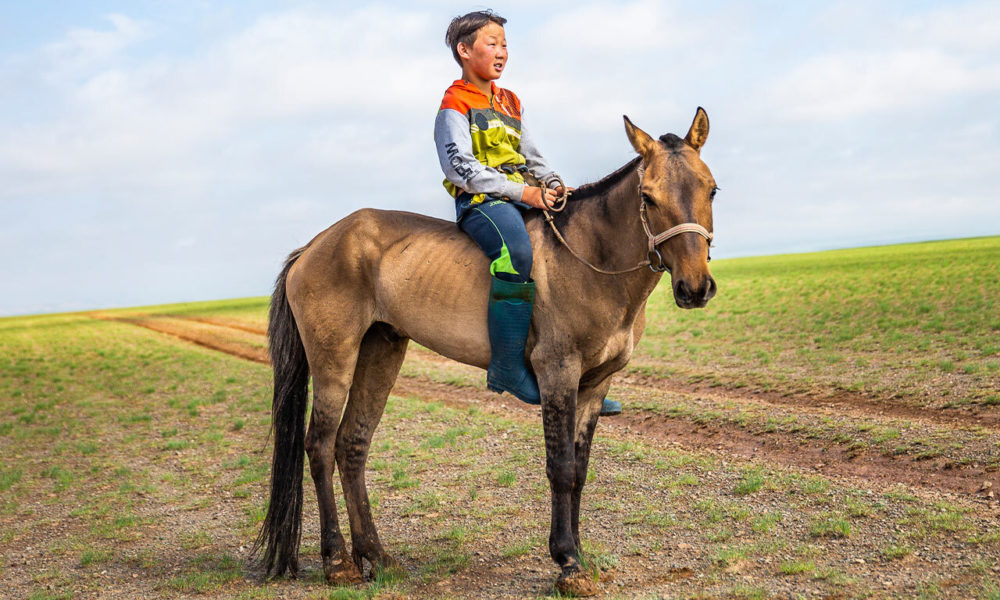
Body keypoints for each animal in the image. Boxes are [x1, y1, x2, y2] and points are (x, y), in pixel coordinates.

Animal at [254, 109, 716, 596]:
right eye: (648, 197)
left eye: (711, 189)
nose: (694, 288)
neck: (591, 259)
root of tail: (316, 244)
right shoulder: (558, 374)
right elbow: (561, 468)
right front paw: (567, 561)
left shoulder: (595, 385)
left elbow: (580, 472)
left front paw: (580, 554)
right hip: (334, 361)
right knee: (321, 446)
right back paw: (338, 561)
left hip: (380, 352)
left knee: (352, 444)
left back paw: (375, 555)